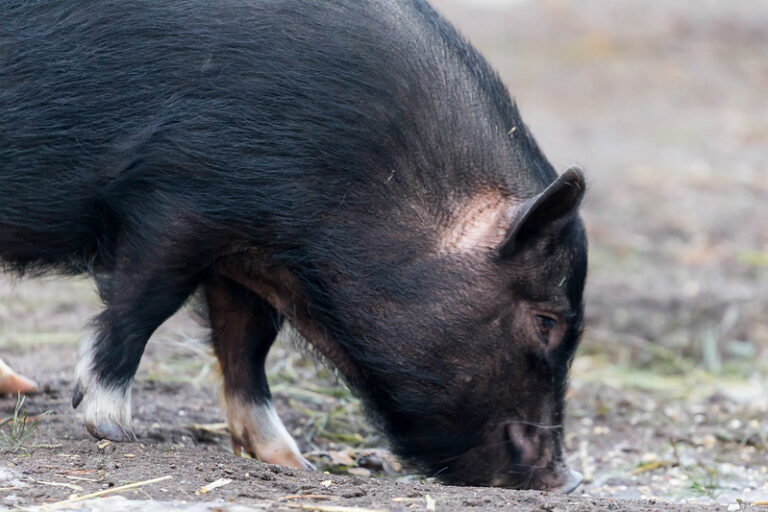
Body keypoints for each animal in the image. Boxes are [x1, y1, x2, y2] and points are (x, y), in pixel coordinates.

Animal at [0, 0, 587, 491]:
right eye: (547, 322)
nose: (569, 481)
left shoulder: (242, 253)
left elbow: (247, 344)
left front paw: (294, 464)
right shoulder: (175, 200)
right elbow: (144, 306)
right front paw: (113, 429)